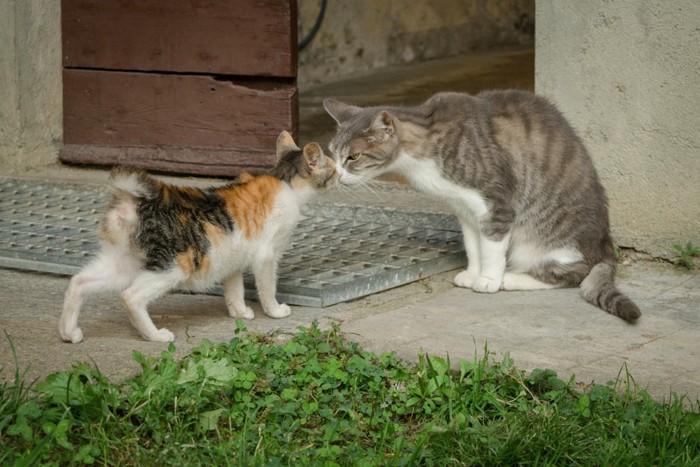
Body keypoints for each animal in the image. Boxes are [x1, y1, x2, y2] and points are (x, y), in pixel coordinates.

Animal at [58, 132, 338, 344]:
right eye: (333, 171)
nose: (341, 176)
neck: (285, 181)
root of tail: (134, 201)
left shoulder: (233, 259)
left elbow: (234, 289)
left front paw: (240, 312)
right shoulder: (266, 255)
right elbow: (267, 286)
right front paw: (275, 311)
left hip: (123, 263)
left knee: (79, 282)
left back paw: (69, 333)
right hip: (174, 265)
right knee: (131, 296)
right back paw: (156, 336)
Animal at [322, 88, 640, 322]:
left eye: (353, 157)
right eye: (333, 154)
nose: (337, 175)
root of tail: (605, 247)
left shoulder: (497, 206)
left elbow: (492, 249)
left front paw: (488, 279)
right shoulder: (465, 209)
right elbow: (473, 246)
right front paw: (473, 273)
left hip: (544, 241)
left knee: (571, 274)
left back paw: (511, 279)